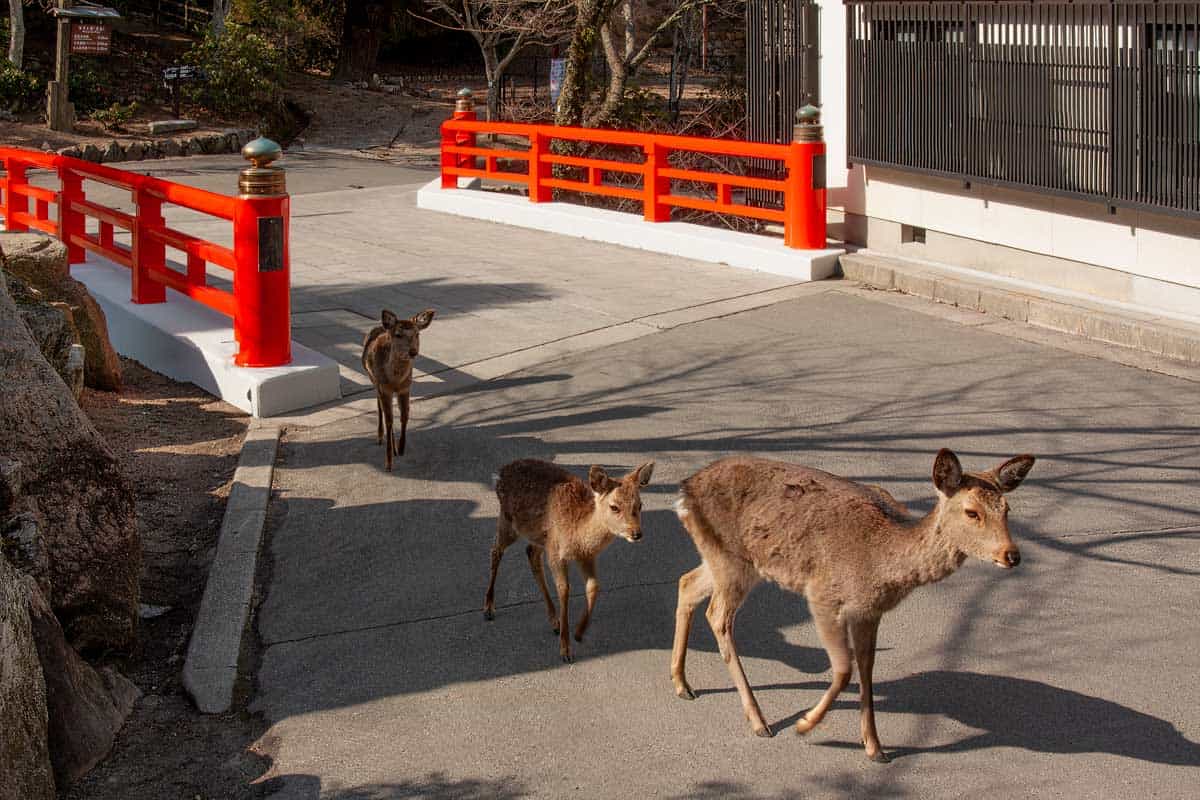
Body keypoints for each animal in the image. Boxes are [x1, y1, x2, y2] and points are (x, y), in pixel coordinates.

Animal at [361, 308, 435, 470]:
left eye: (417, 334)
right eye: (398, 334)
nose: (413, 352)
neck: (395, 381)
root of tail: (383, 326)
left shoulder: (405, 388)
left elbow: (404, 416)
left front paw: (401, 449)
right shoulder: (384, 389)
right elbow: (389, 420)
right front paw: (388, 463)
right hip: (373, 380)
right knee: (380, 408)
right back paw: (380, 437)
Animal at [485, 458, 655, 662]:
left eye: (640, 505)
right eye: (614, 506)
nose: (636, 533)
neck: (578, 534)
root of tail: (500, 473)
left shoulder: (585, 556)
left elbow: (593, 586)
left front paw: (579, 633)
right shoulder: (557, 553)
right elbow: (565, 590)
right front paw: (565, 650)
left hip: (540, 537)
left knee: (530, 553)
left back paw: (554, 620)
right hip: (508, 521)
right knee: (496, 550)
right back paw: (489, 608)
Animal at [670, 448, 1035, 763]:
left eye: (1007, 510)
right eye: (972, 512)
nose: (1012, 555)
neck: (880, 562)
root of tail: (684, 491)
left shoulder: (869, 611)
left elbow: (867, 668)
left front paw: (875, 747)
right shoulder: (822, 595)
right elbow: (845, 669)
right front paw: (805, 724)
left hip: (726, 560)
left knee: (686, 583)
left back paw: (682, 685)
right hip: (731, 559)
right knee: (717, 616)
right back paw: (760, 721)